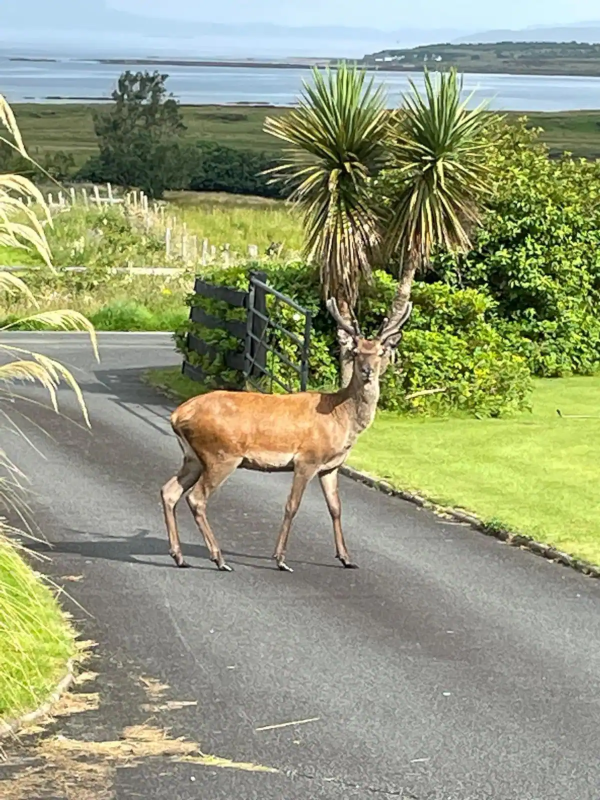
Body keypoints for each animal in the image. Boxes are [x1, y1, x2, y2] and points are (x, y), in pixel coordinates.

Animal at [159, 296, 412, 572]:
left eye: (380, 351)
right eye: (355, 352)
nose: (367, 370)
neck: (340, 417)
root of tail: (177, 415)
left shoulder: (330, 466)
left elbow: (336, 508)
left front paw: (346, 558)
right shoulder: (307, 459)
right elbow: (292, 505)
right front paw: (280, 559)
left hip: (193, 456)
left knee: (169, 491)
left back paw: (179, 556)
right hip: (220, 454)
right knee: (196, 498)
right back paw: (219, 558)